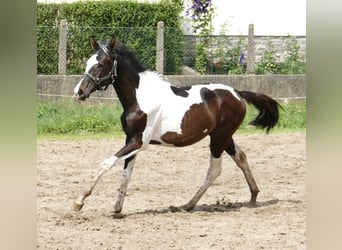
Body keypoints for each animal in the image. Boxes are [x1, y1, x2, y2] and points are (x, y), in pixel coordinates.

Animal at [73, 36, 280, 214]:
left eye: (101, 64)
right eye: (88, 63)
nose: (79, 92)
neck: (139, 98)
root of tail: (238, 93)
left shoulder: (139, 142)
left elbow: (106, 163)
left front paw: (79, 201)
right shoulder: (130, 140)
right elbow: (126, 173)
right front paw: (117, 207)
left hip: (219, 138)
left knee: (214, 170)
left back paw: (188, 204)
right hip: (224, 136)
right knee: (241, 157)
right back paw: (253, 196)